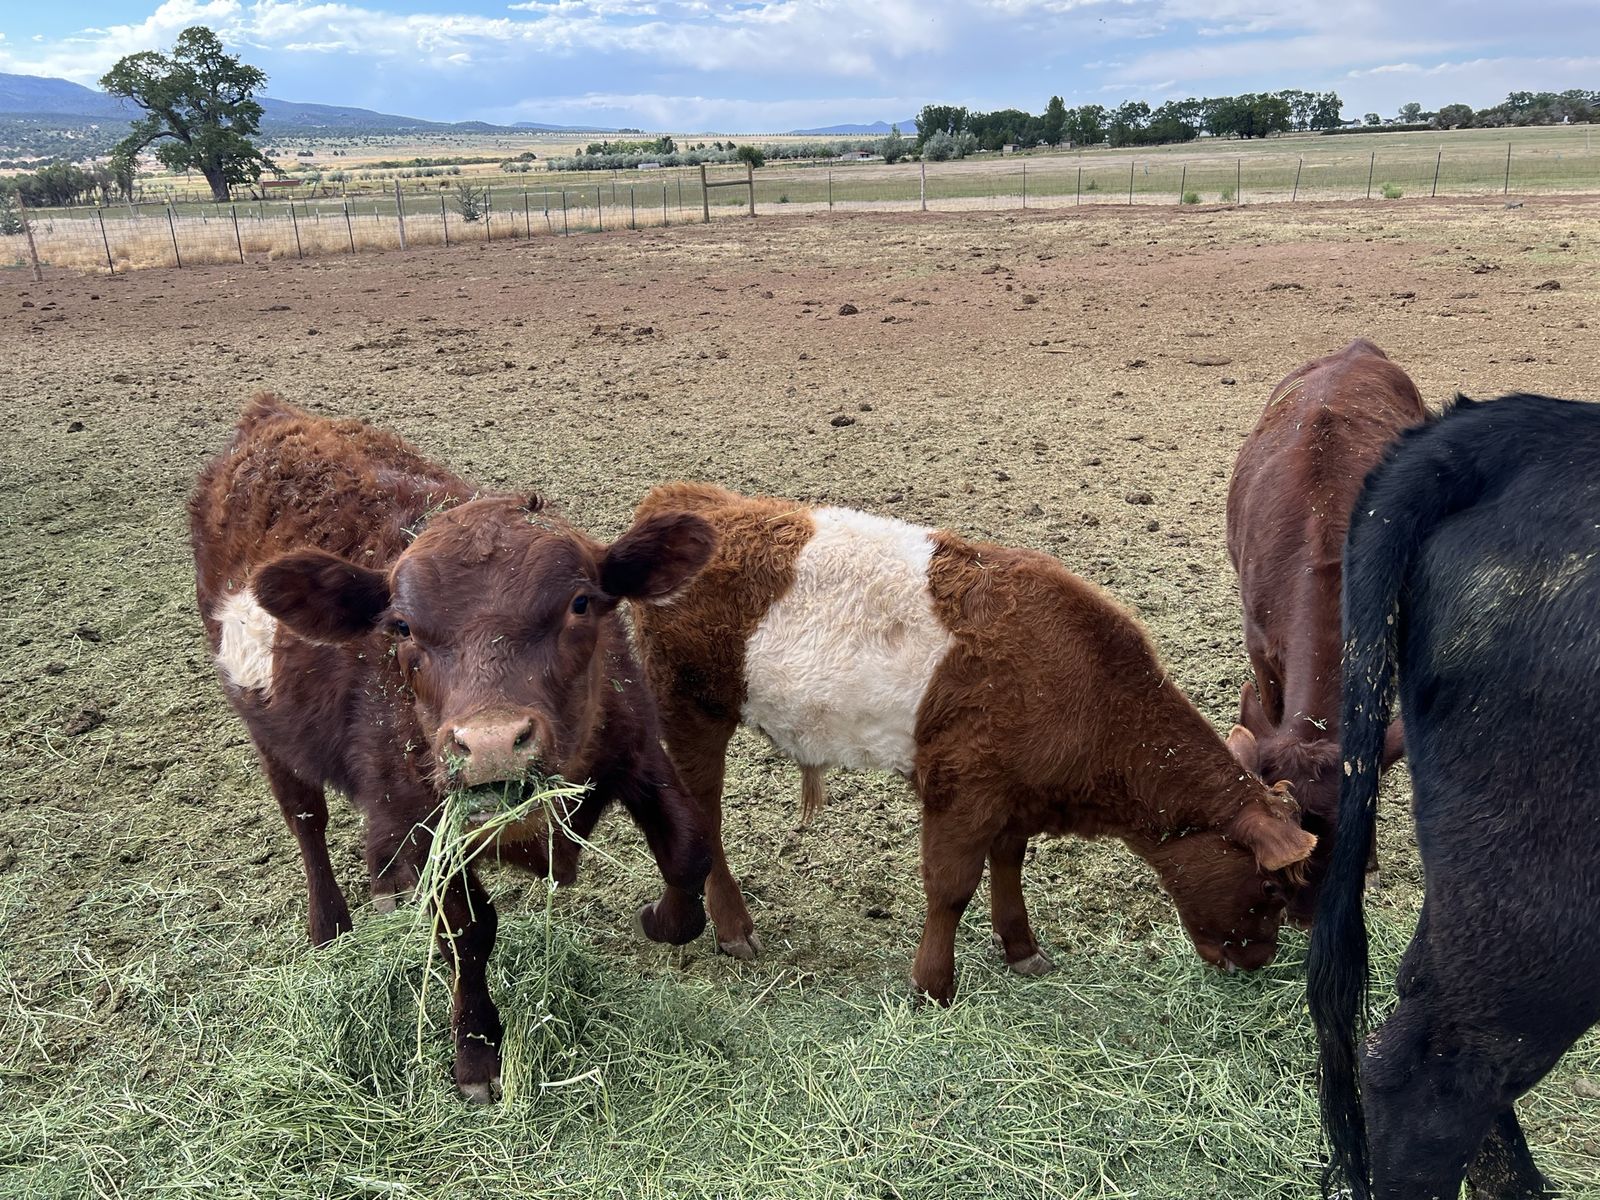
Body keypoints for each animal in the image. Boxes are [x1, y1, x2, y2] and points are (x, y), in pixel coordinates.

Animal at [189, 394, 716, 1100]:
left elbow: (689, 848)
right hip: (270, 730)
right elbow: (466, 932)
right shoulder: (423, 822)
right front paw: (476, 1053)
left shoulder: (636, 745)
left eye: (581, 603)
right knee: (307, 821)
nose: (492, 744)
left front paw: (660, 917)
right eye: (401, 627)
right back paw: (330, 924)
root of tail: (268, 417)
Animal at [625, 484, 1318, 1003]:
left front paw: (1023, 950)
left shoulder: (1014, 791)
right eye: (1274, 890)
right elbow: (951, 884)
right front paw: (933, 984)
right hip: (687, 708)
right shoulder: (963, 784)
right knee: (704, 817)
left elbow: (1008, 864)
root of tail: (680, 497)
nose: (1257, 960)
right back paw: (732, 930)